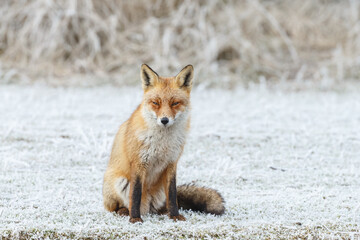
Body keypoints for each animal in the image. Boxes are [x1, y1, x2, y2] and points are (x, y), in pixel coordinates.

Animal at [102, 64, 225, 223]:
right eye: (156, 103)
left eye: (175, 103)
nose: (164, 120)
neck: (163, 143)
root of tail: (147, 209)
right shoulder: (139, 163)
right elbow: (135, 194)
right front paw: (135, 219)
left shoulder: (172, 163)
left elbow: (172, 195)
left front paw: (175, 215)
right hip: (119, 182)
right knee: (116, 207)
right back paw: (124, 211)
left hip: (159, 192)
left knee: (161, 205)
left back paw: (163, 212)